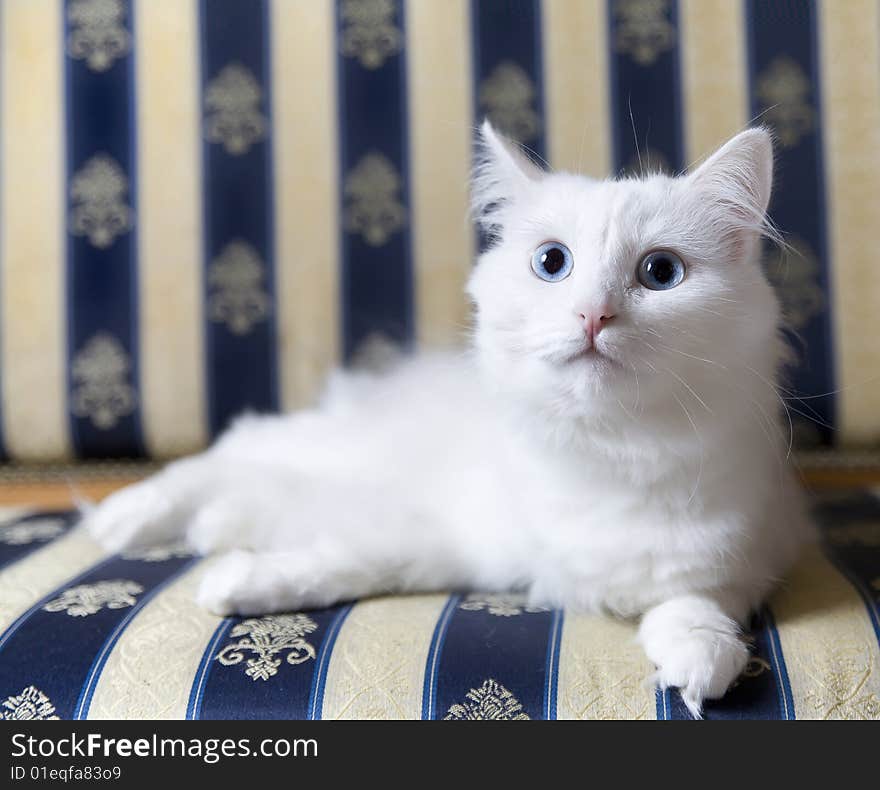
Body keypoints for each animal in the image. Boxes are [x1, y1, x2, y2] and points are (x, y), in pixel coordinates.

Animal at [86, 122, 816, 716]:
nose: (593, 315)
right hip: (332, 446)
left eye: (660, 272)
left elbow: (696, 612)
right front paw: (235, 587)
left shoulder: (738, 561)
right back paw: (122, 521)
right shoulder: (453, 534)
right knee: (223, 454)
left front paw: (700, 667)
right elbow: (344, 562)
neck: (606, 453)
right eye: (552, 263)